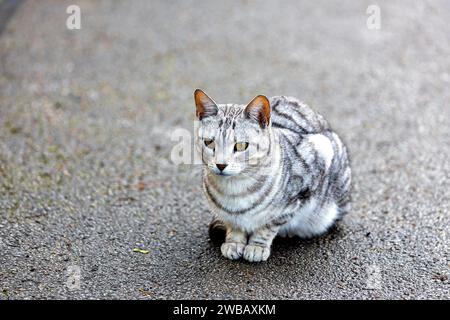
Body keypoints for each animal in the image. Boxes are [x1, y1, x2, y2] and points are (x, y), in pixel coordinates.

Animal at [193, 88, 352, 262]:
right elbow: (234, 224)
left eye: (241, 146)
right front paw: (234, 242)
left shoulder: (315, 161)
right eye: (209, 143)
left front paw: (257, 246)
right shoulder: (226, 213)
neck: (234, 189)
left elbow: (269, 225)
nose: (221, 165)